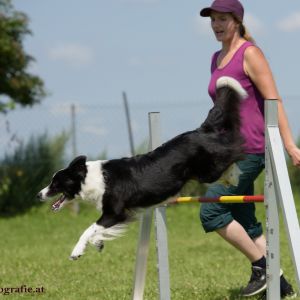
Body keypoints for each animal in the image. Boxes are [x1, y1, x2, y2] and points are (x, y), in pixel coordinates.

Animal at [38, 76, 246, 258]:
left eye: (55, 183)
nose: (39, 194)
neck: (91, 177)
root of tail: (200, 130)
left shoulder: (115, 212)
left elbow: (89, 229)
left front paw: (76, 251)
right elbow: (96, 231)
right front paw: (98, 242)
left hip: (208, 171)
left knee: (236, 151)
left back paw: (235, 174)